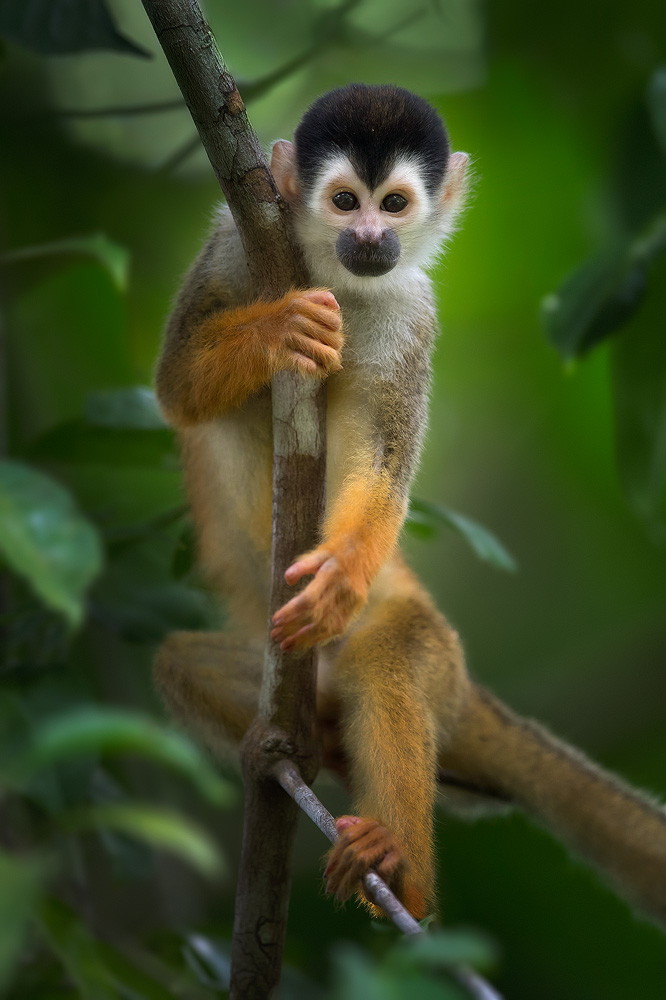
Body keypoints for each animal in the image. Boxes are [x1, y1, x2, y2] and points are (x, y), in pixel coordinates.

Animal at [153, 83, 666, 926]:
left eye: (393, 204)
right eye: (345, 201)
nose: (370, 237)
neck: (340, 278)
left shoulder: (412, 310)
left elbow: (383, 457)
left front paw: (340, 575)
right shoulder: (232, 243)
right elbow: (175, 386)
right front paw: (280, 327)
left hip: (430, 649)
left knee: (392, 661)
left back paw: (399, 867)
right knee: (179, 663)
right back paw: (304, 750)